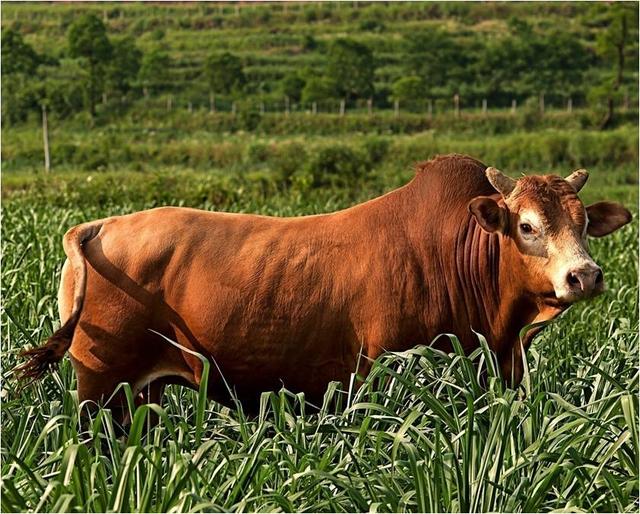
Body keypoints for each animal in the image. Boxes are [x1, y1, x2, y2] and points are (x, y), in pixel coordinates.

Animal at [17, 153, 632, 416]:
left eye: (582, 223)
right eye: (526, 226)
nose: (584, 275)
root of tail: (103, 225)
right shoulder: (390, 374)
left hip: (138, 393)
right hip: (99, 390)